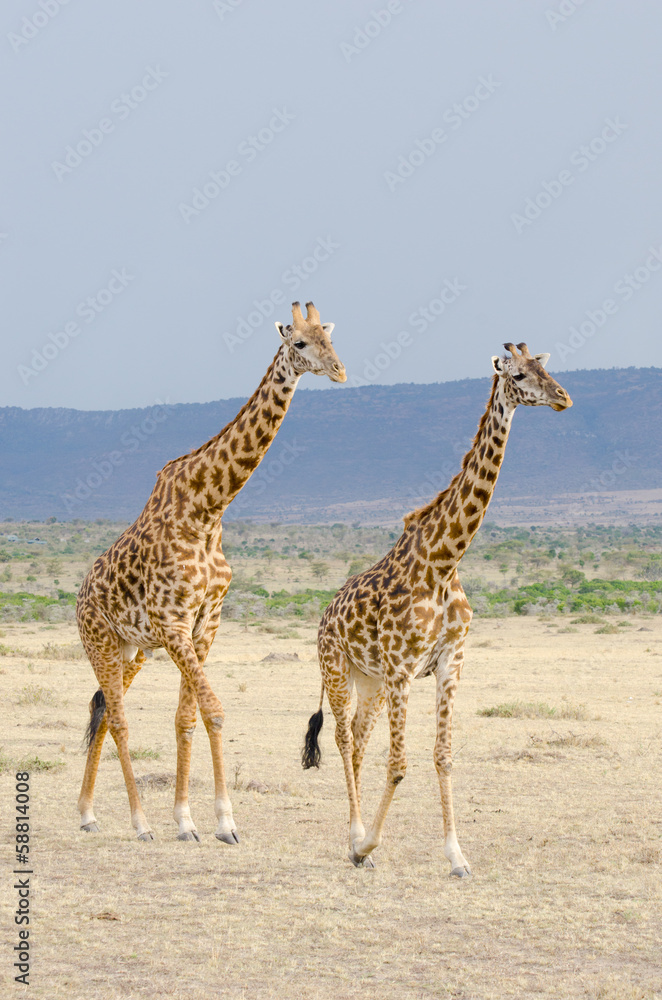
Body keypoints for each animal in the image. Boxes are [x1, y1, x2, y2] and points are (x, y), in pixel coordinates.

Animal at [77, 301, 345, 843]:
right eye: (299, 343)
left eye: (331, 337)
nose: (339, 371)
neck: (209, 508)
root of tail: (77, 596)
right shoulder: (175, 624)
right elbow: (216, 713)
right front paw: (224, 822)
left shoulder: (205, 624)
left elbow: (188, 718)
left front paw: (188, 821)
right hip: (99, 642)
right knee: (118, 718)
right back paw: (138, 823)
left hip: (131, 649)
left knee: (102, 709)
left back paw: (88, 814)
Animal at [302, 343, 572, 875]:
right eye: (519, 374)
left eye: (548, 368)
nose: (562, 397)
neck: (445, 561)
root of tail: (324, 616)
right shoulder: (403, 669)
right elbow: (399, 764)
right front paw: (370, 844)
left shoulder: (450, 662)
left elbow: (443, 756)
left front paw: (457, 857)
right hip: (338, 670)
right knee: (342, 737)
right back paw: (355, 839)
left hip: (370, 681)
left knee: (359, 738)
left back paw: (357, 841)